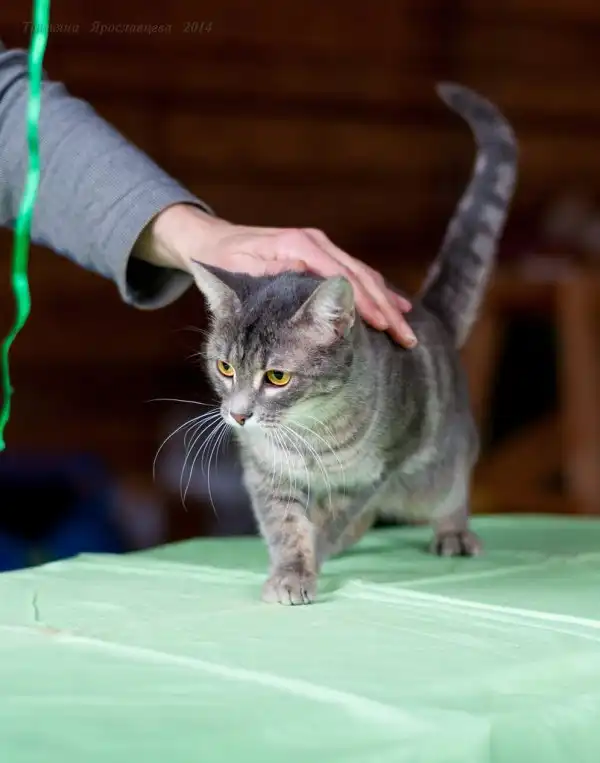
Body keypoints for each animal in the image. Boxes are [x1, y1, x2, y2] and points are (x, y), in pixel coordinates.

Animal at [189, 82, 518, 605]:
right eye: (225, 369)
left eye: (277, 376)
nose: (238, 416)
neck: (305, 435)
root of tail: (427, 311)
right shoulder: (265, 474)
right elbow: (285, 525)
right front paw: (291, 569)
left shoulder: (369, 475)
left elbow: (330, 520)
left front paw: (311, 559)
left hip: (436, 469)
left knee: (450, 492)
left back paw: (452, 532)